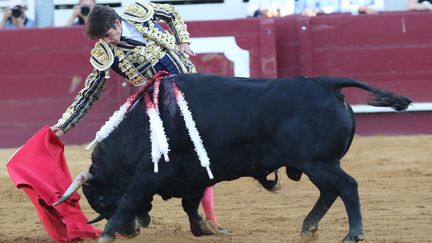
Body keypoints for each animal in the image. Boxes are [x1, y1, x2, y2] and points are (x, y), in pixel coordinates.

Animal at [54, 73, 412, 242]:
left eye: (100, 198)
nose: (131, 232)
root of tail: (327, 84)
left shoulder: (149, 174)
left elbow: (130, 198)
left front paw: (105, 233)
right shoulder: (193, 175)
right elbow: (191, 204)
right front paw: (205, 229)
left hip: (319, 163)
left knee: (347, 187)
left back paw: (353, 233)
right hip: (318, 165)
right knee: (330, 191)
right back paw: (308, 228)